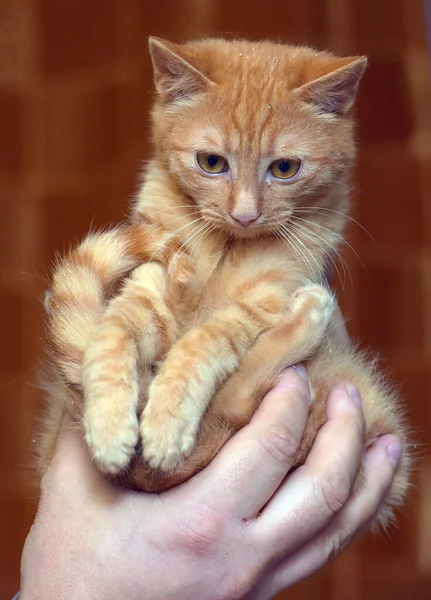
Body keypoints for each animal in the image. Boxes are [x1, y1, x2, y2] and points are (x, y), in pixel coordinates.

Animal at [41, 37, 412, 524]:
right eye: (211, 162)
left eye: (285, 168)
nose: (245, 214)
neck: (226, 249)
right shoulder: (147, 293)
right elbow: (111, 336)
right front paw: (107, 426)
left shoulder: (265, 299)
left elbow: (203, 344)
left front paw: (166, 422)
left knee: (235, 399)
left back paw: (311, 313)